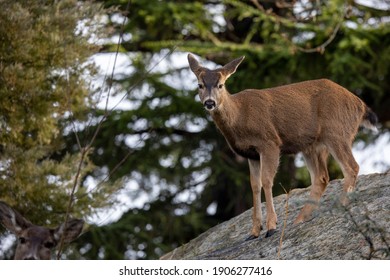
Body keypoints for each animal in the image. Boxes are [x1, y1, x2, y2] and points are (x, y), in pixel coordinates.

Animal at [188, 53, 378, 241]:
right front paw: (254, 231)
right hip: (312, 145)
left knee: (351, 167)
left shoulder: (269, 142)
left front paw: (271, 226)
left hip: (336, 131)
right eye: (200, 85)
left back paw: (340, 205)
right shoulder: (251, 154)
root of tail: (360, 106)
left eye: (221, 85)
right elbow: (254, 185)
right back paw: (300, 219)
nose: (210, 103)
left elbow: (266, 180)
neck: (240, 117)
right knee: (321, 177)